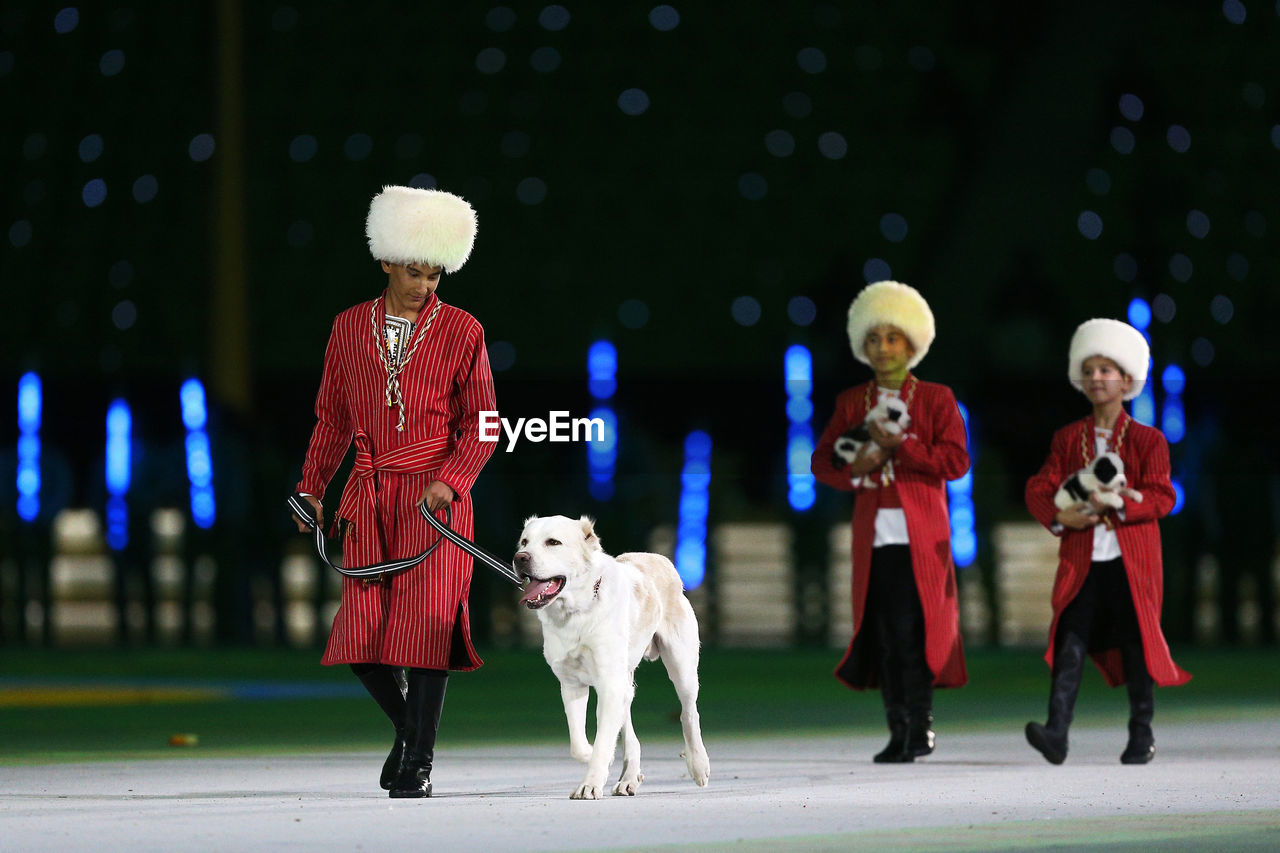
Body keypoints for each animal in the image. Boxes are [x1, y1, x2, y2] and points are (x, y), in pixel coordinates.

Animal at [512, 512, 711, 799]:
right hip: (624, 683)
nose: (520, 558)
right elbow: (580, 743)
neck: (578, 612)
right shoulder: (572, 684)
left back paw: (698, 764)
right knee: (630, 732)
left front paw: (590, 784)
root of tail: (659, 558)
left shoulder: (608, 683)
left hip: (681, 665)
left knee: (689, 713)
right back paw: (630, 777)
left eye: (553, 542)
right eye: (524, 542)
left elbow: (604, 739)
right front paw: (597, 759)